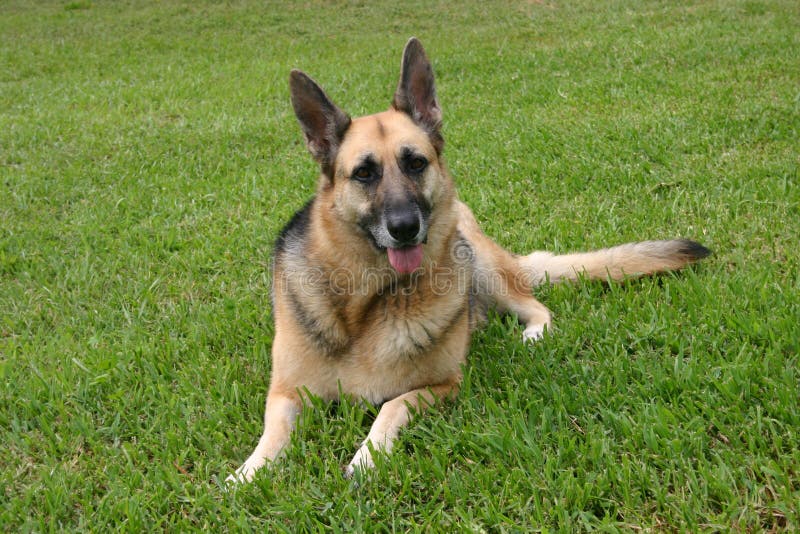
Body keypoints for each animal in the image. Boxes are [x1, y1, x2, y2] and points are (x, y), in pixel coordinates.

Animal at [228, 38, 708, 486]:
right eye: (363, 173)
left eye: (415, 163)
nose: (405, 227)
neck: (373, 301)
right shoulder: (286, 393)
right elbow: (272, 435)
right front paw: (248, 473)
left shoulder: (443, 386)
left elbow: (391, 405)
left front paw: (367, 457)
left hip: (481, 263)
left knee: (535, 306)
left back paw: (532, 333)